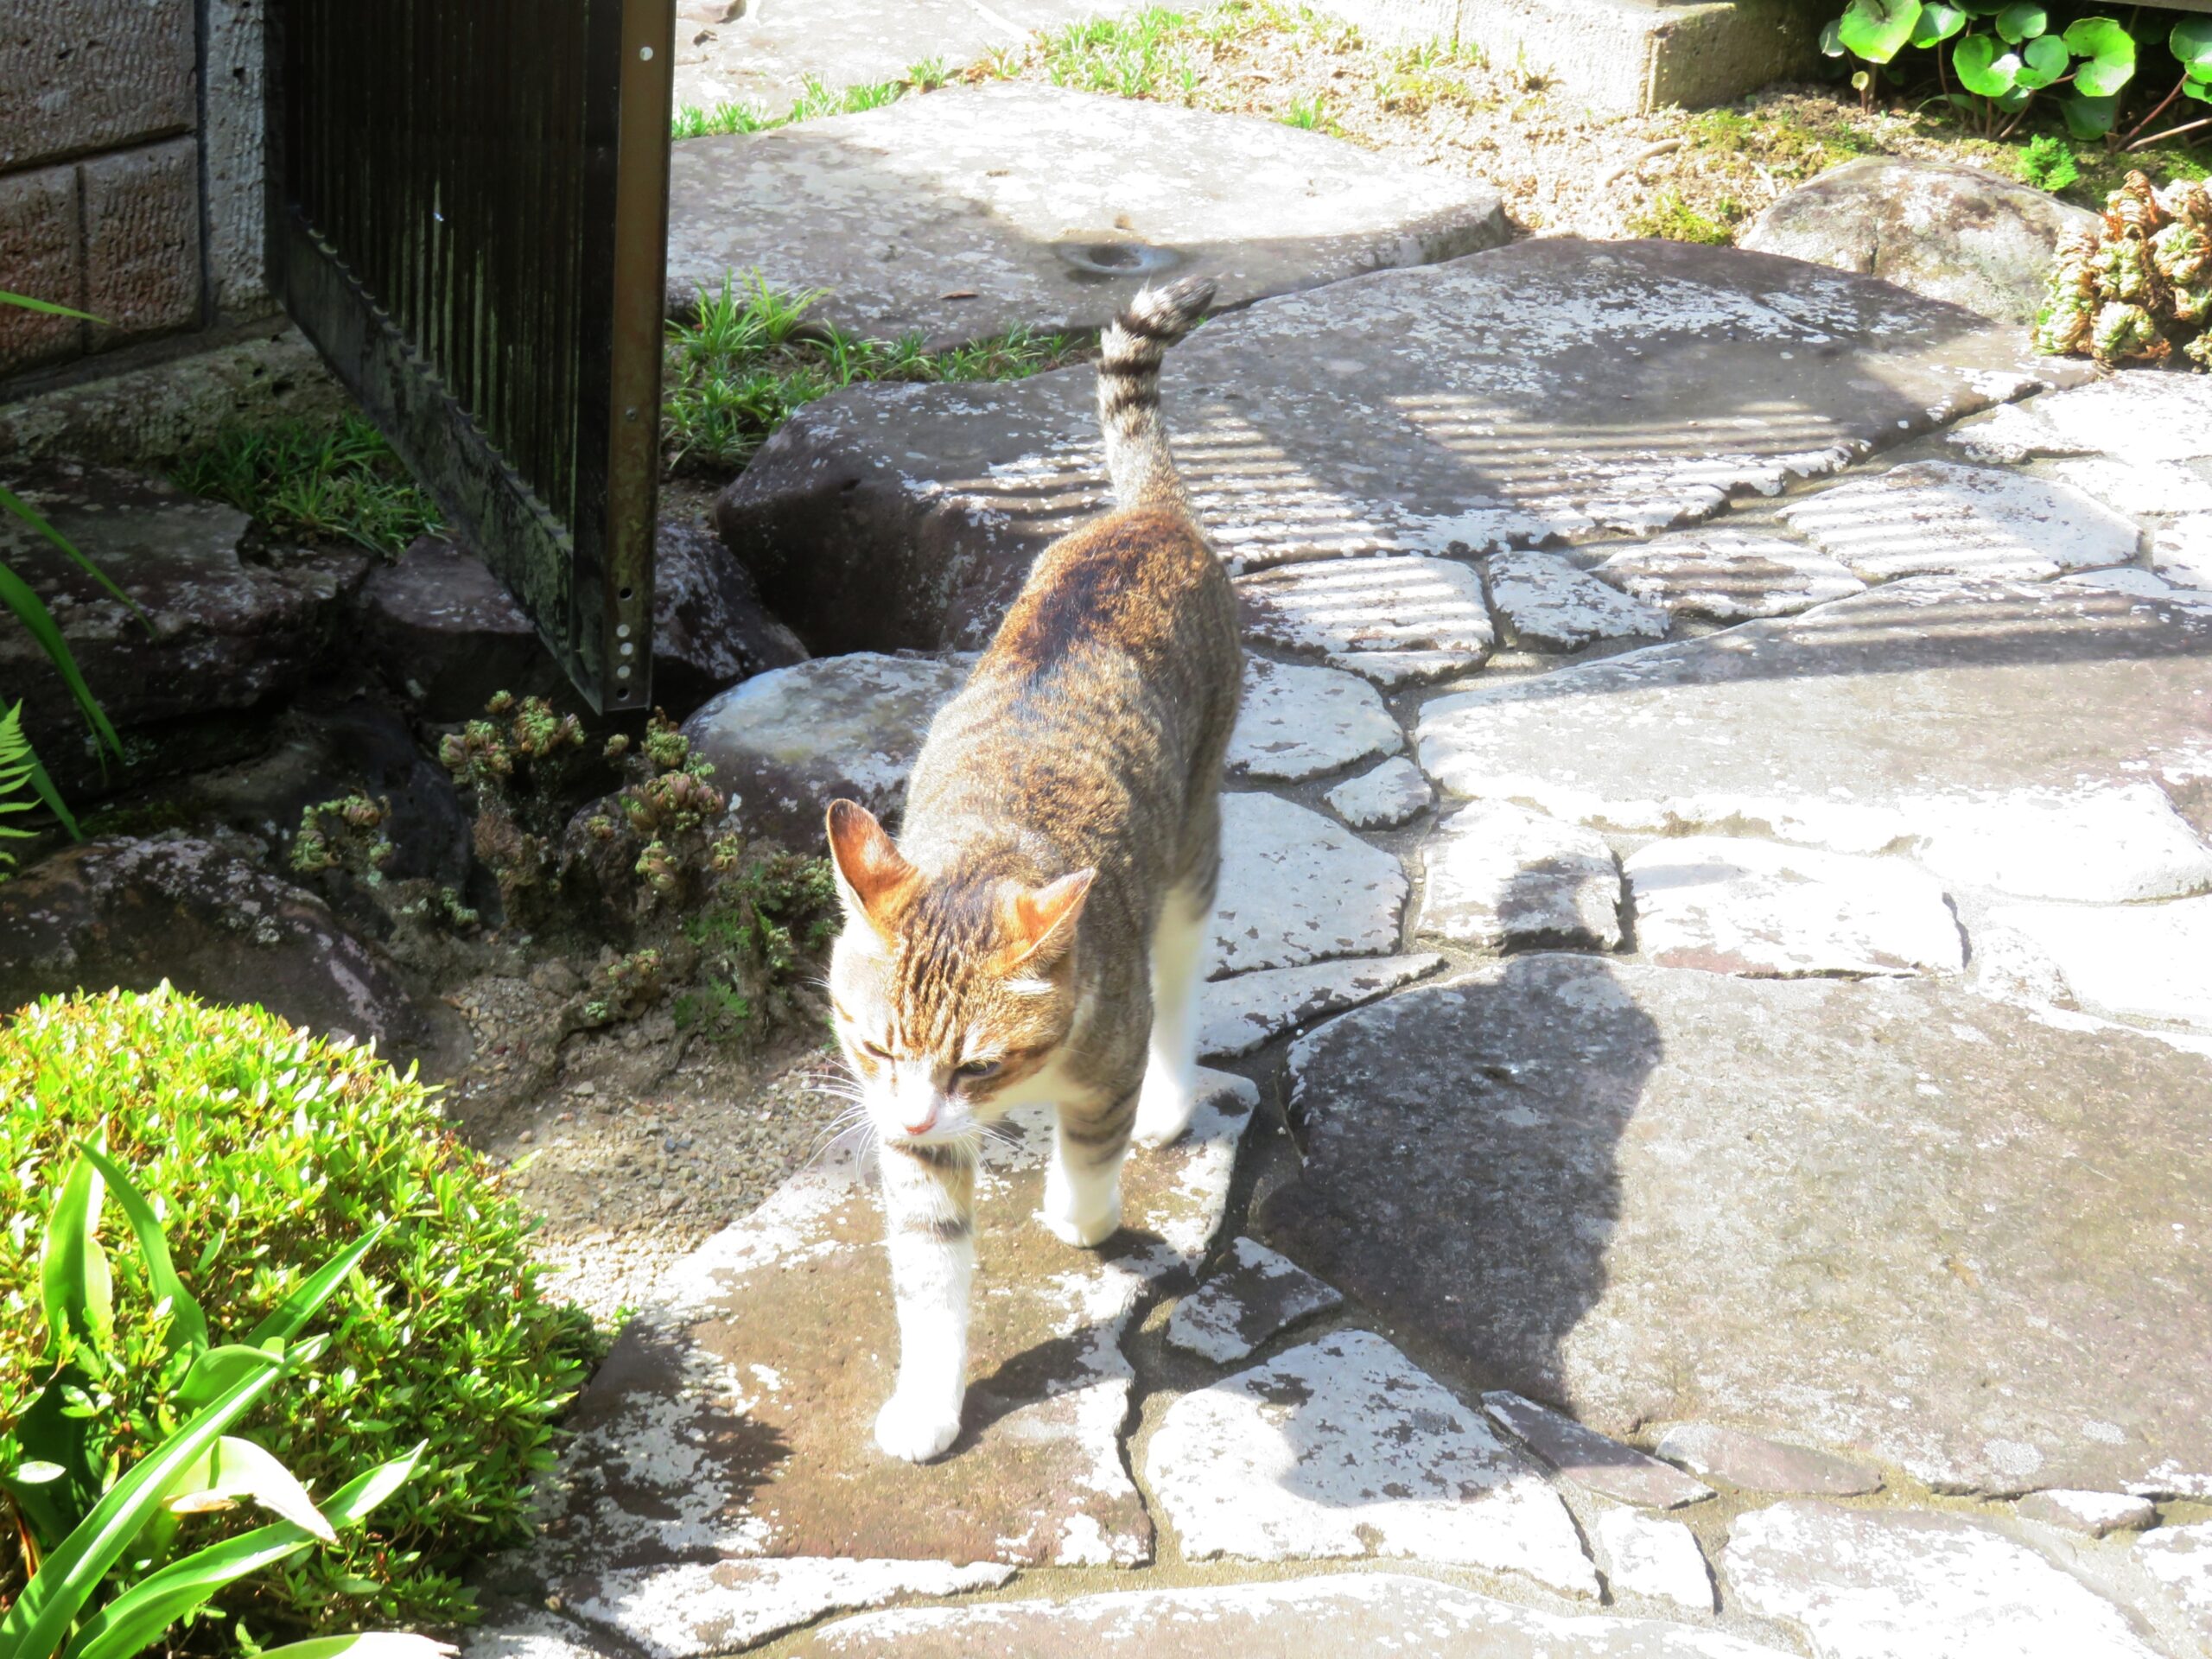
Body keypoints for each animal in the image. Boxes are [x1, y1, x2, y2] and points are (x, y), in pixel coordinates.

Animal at [827, 279, 1247, 1459]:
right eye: (877, 1046)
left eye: (976, 1062)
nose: (918, 1118)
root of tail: (1149, 516)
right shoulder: (913, 1147)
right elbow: (930, 1275)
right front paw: (929, 1404)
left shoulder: (1102, 1054)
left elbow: (1094, 1154)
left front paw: (1079, 1214)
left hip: (1191, 846)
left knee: (1182, 975)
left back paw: (1172, 1100)